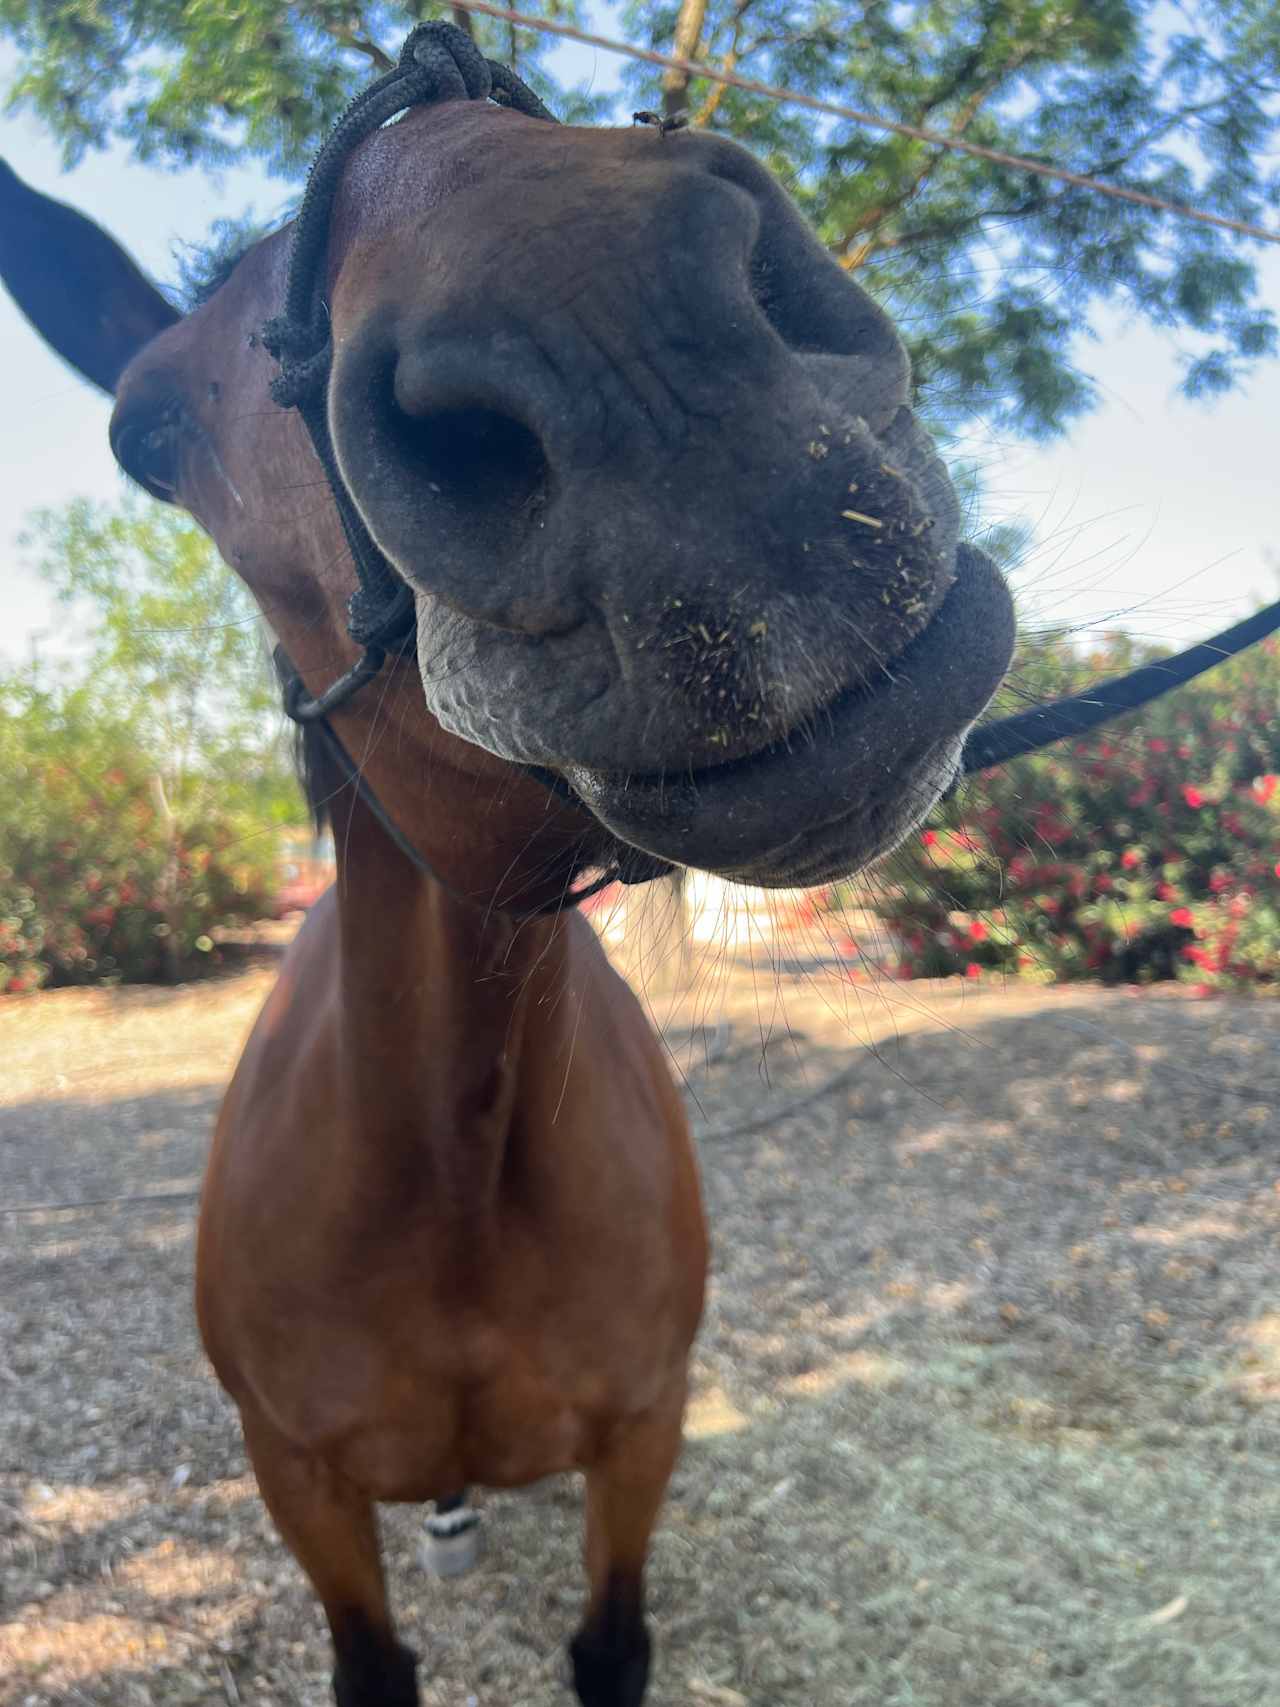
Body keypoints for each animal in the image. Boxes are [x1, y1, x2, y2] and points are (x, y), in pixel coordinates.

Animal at [0, 20, 1024, 1700]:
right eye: (146, 436)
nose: (632, 349)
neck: (454, 1181)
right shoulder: (303, 1485)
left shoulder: (641, 1435)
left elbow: (611, 1640)